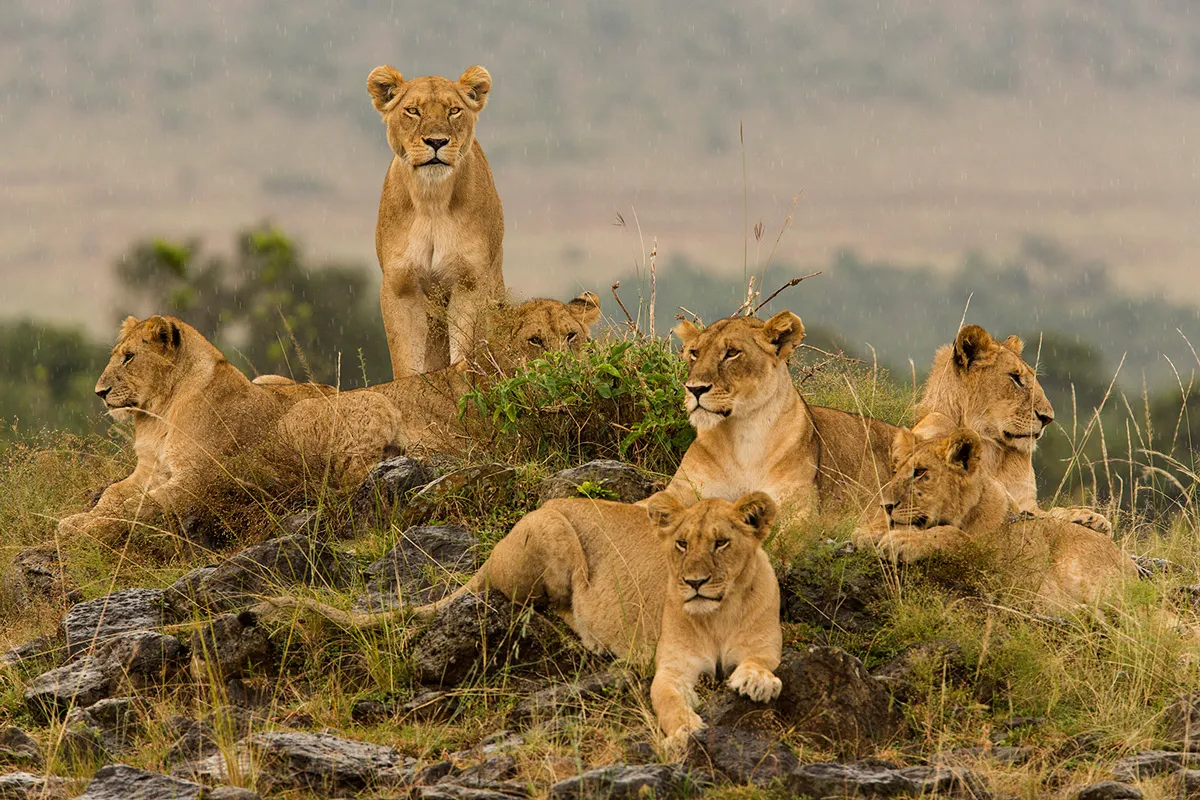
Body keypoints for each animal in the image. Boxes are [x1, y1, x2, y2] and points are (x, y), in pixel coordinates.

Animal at [58, 316, 403, 542]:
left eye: (129, 358)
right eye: (116, 356)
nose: (99, 392)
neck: (158, 413)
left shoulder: (197, 478)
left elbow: (139, 505)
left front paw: (86, 528)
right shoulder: (149, 469)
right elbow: (114, 493)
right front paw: (77, 519)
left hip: (318, 415)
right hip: (268, 380)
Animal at [362, 62, 499, 379]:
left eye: (454, 111)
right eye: (413, 111)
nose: (436, 141)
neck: (431, 201)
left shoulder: (470, 282)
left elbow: (464, 354)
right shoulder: (400, 286)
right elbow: (406, 362)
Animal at [864, 429, 1132, 609]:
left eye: (920, 472)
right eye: (895, 471)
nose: (886, 505)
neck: (968, 512)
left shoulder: (998, 571)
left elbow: (954, 536)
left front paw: (901, 541)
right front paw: (868, 533)